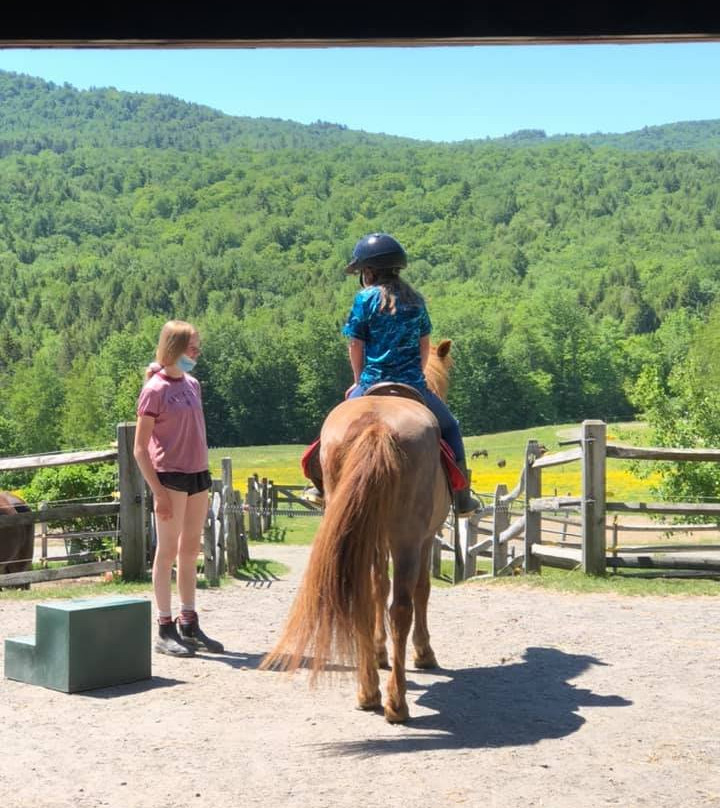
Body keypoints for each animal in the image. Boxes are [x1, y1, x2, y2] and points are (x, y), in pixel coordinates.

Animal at [261, 339, 456, 723]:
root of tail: (377, 426)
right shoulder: (426, 538)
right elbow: (420, 591)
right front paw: (424, 653)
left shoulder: (374, 538)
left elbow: (378, 587)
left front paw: (378, 653)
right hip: (408, 538)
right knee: (402, 607)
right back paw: (396, 703)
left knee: (365, 599)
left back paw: (368, 692)